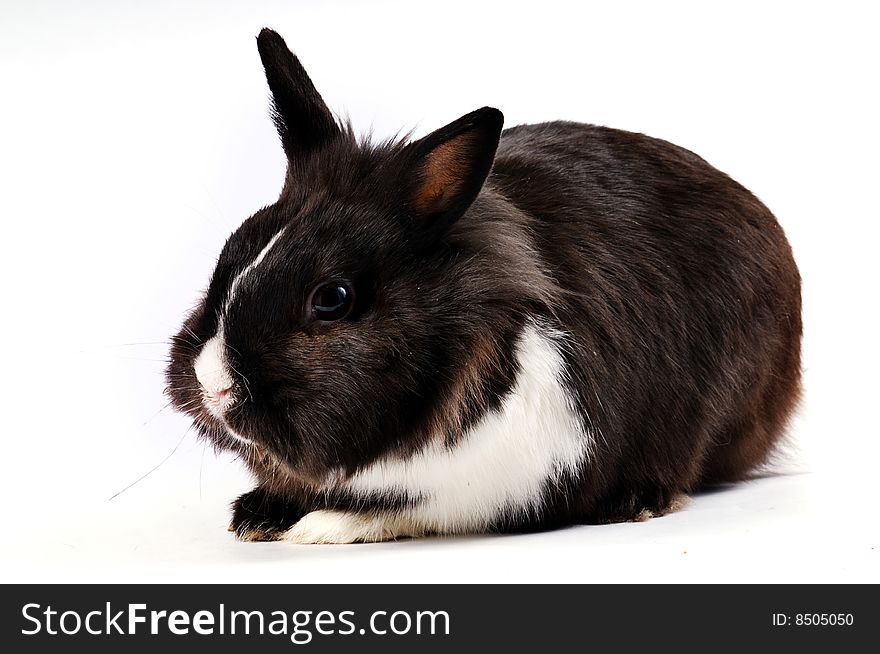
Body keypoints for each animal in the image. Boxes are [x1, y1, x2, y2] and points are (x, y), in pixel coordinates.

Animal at [167, 28, 804, 544]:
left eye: (333, 298)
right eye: (229, 253)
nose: (214, 385)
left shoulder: (518, 471)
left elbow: (407, 509)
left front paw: (320, 526)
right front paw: (257, 516)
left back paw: (637, 500)